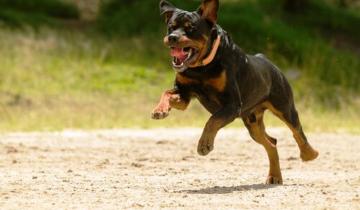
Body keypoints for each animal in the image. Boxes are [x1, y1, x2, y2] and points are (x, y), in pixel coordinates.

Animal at [151, 0, 318, 184]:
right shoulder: (184, 94)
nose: (172, 37)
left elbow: (212, 121)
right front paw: (160, 110)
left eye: (191, 28)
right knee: (272, 142)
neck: (201, 68)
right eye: (171, 27)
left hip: (284, 107)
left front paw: (204, 144)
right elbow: (166, 93)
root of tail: (269, 62)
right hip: (252, 123)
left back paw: (309, 154)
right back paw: (274, 176)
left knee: (297, 132)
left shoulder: (232, 104)